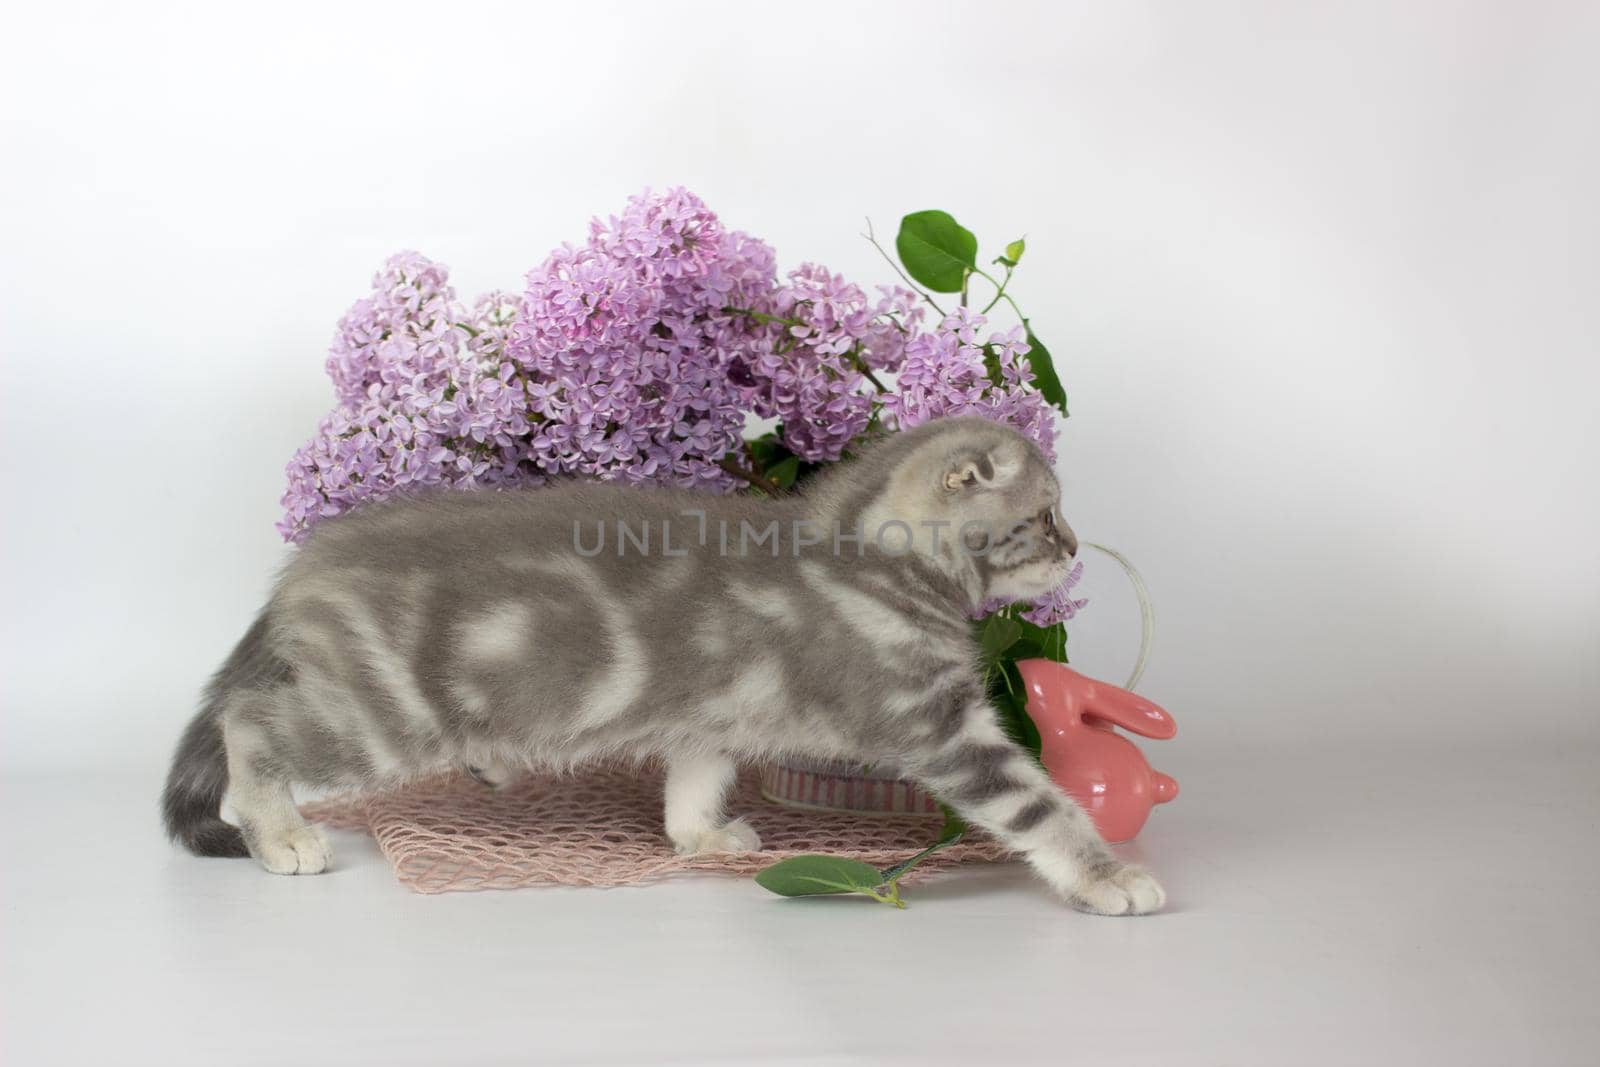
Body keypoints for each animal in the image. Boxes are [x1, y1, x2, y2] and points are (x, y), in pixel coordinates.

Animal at [162, 415, 1164, 921]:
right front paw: (1107, 876)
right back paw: (279, 832)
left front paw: (698, 837)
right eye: (1044, 516)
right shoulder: (939, 722)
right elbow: (1039, 801)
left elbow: (695, 776)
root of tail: (309, 566)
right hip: (385, 714)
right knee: (252, 722)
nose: (1076, 547)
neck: (871, 556)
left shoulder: (710, 709)